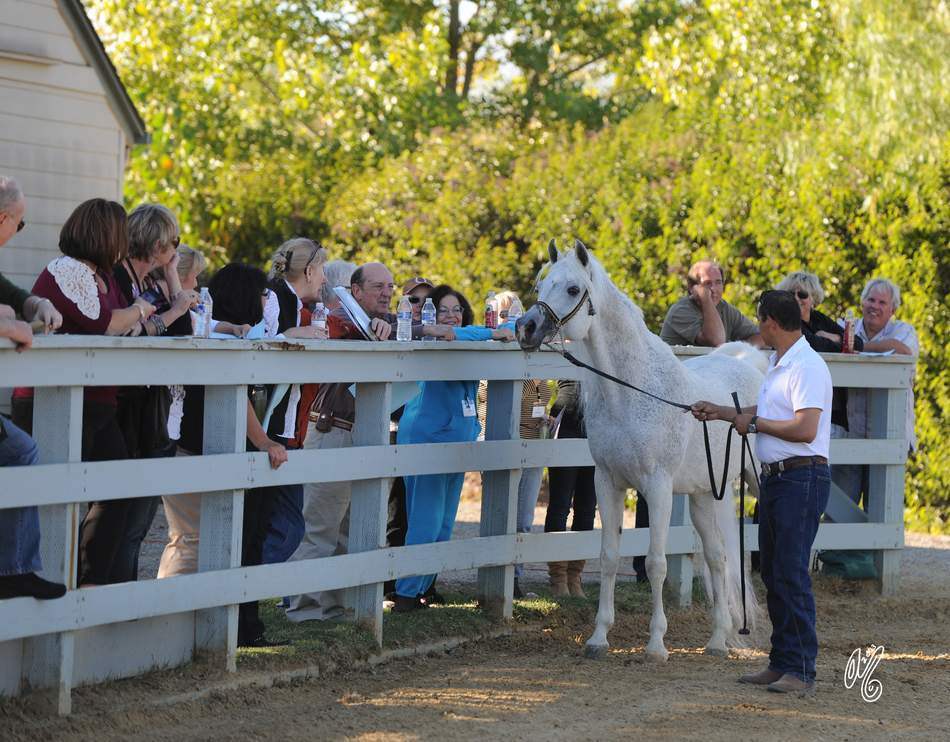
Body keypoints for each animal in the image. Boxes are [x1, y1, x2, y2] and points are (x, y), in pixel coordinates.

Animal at [516, 238, 766, 662]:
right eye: (540, 285)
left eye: (572, 289)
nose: (526, 328)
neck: (631, 391)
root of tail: (750, 365)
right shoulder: (607, 483)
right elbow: (609, 557)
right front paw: (599, 638)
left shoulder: (659, 488)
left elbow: (656, 564)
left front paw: (656, 644)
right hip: (705, 494)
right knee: (717, 558)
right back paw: (718, 640)